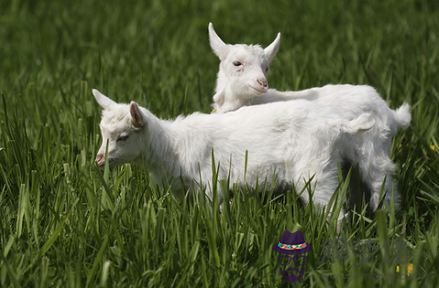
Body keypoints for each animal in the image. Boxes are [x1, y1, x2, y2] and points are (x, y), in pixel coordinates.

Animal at [209, 22, 412, 210]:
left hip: (374, 145)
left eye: (266, 67)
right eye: (237, 63)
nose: (262, 83)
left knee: (381, 180)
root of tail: (390, 112)